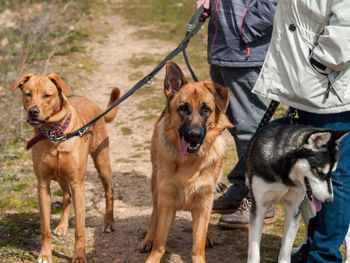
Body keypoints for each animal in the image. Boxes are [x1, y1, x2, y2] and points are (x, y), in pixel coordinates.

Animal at [13, 74, 120, 263]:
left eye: (47, 95)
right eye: (28, 93)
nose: (33, 111)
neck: (54, 134)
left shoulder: (78, 183)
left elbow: (80, 228)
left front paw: (79, 256)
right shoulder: (43, 184)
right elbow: (45, 228)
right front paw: (45, 254)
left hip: (102, 163)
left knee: (109, 191)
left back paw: (108, 223)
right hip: (61, 177)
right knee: (66, 197)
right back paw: (62, 227)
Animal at [139, 60, 232, 262]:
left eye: (206, 109)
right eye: (183, 108)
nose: (194, 135)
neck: (190, 162)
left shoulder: (204, 200)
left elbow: (197, 245)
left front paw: (201, 247)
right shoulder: (166, 200)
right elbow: (160, 243)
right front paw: (153, 252)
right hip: (156, 185)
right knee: (154, 213)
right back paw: (148, 238)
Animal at [247, 119, 348, 263]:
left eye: (331, 173)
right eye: (319, 172)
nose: (330, 200)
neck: (285, 175)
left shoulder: (294, 208)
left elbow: (285, 250)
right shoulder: (259, 207)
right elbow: (254, 251)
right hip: (306, 204)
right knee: (311, 219)